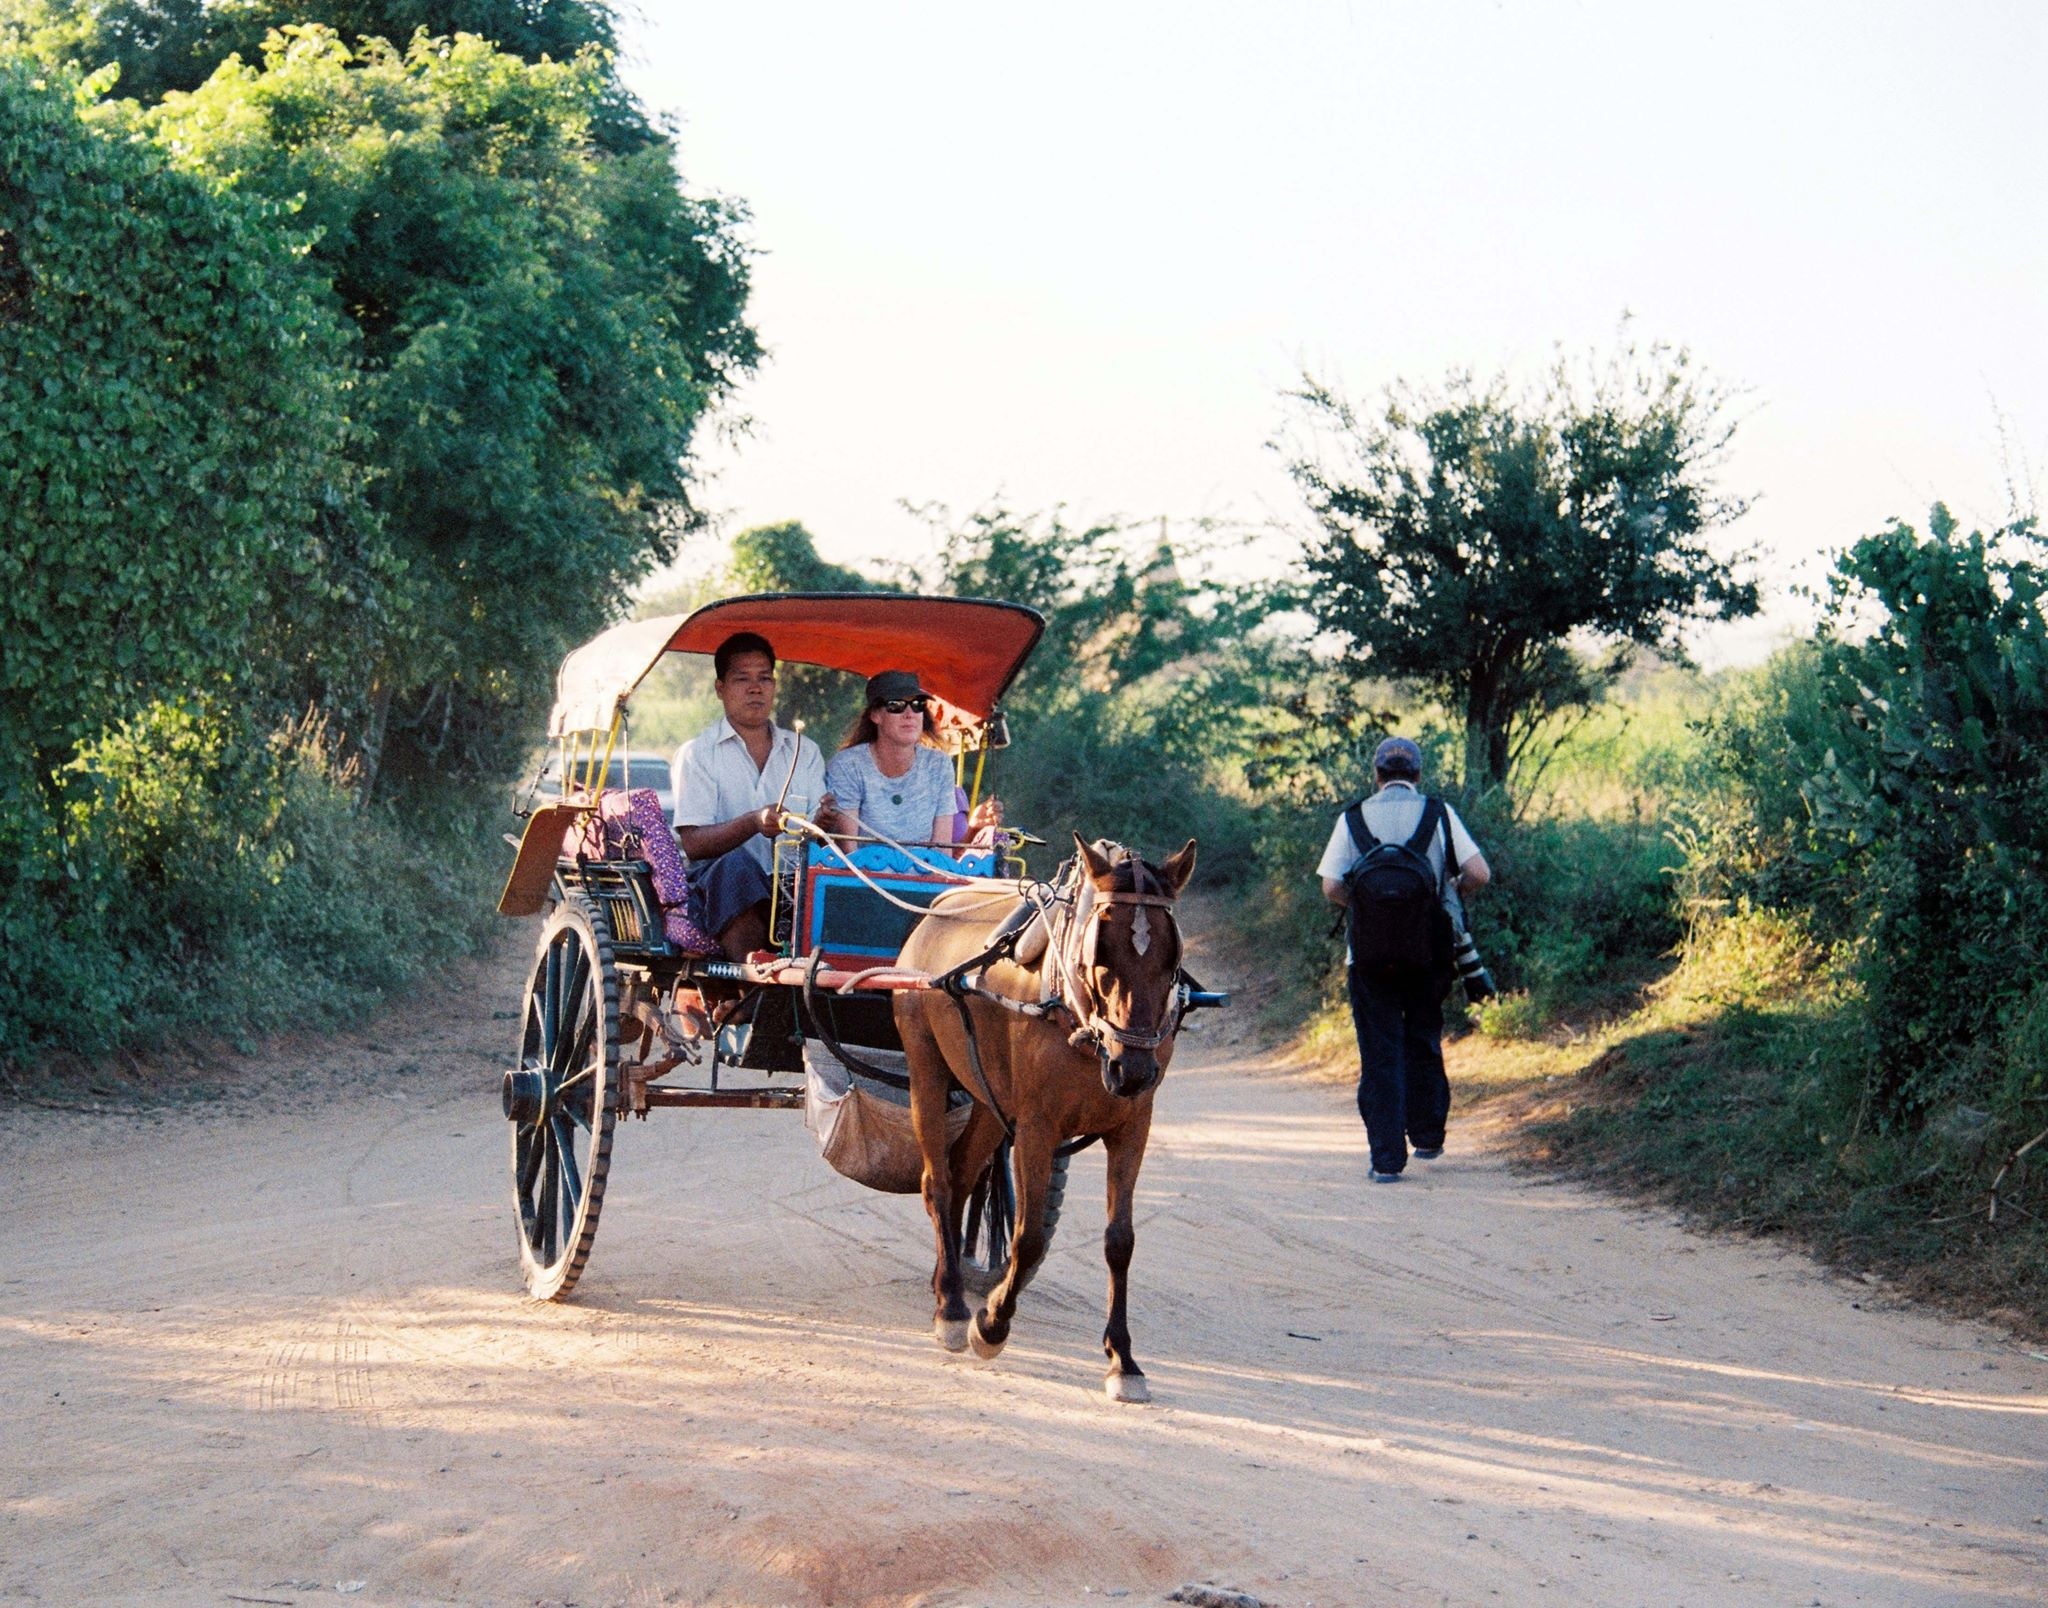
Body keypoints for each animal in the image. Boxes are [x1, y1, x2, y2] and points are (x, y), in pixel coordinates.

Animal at [897, 835, 1196, 1401]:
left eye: (1173, 960)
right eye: (1101, 955)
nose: (1133, 1070)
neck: (1082, 1023)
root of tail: (940, 907)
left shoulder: (1133, 1127)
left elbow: (1120, 1240)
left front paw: (1123, 1359)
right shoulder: (1038, 1126)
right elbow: (1028, 1236)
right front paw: (992, 1324)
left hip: (991, 1100)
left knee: (965, 1174)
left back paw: (945, 1281)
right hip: (924, 1061)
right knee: (938, 1182)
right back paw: (953, 1308)